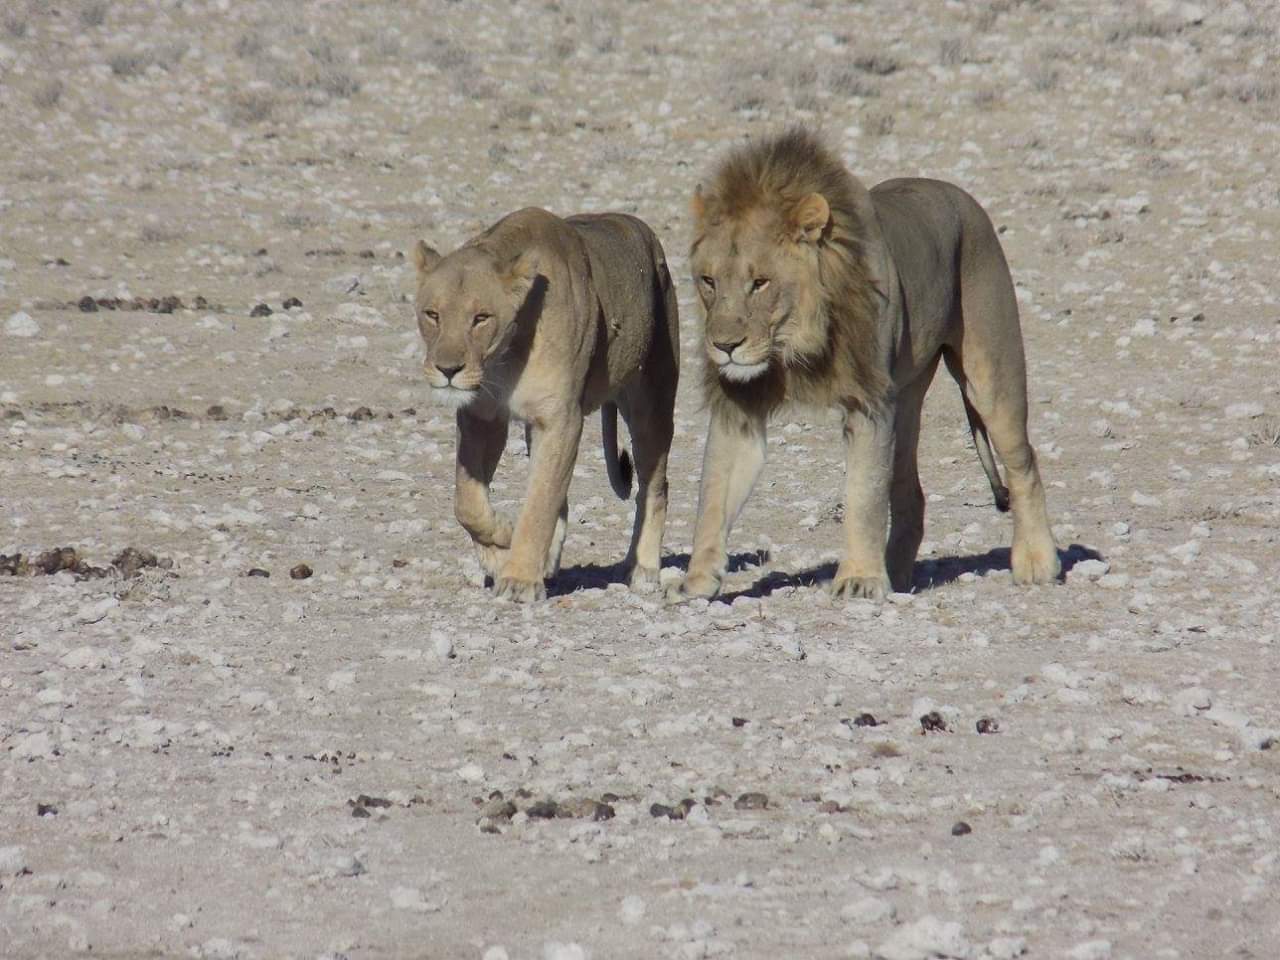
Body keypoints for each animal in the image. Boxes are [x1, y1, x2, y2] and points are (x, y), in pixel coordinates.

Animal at [413, 207, 679, 602]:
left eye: (481, 318)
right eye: (432, 315)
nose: (448, 370)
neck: (503, 358)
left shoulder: (561, 419)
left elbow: (539, 504)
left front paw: (519, 578)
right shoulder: (482, 415)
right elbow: (467, 501)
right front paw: (499, 545)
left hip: (652, 402)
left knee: (654, 487)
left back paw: (643, 569)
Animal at [674, 128, 1060, 601]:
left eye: (759, 282)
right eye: (708, 281)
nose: (724, 346)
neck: (793, 344)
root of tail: (964, 200)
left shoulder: (869, 403)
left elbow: (863, 494)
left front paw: (859, 579)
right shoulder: (739, 406)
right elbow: (714, 493)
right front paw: (696, 580)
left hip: (991, 373)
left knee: (1024, 464)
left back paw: (1036, 562)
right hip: (907, 398)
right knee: (910, 492)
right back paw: (898, 575)